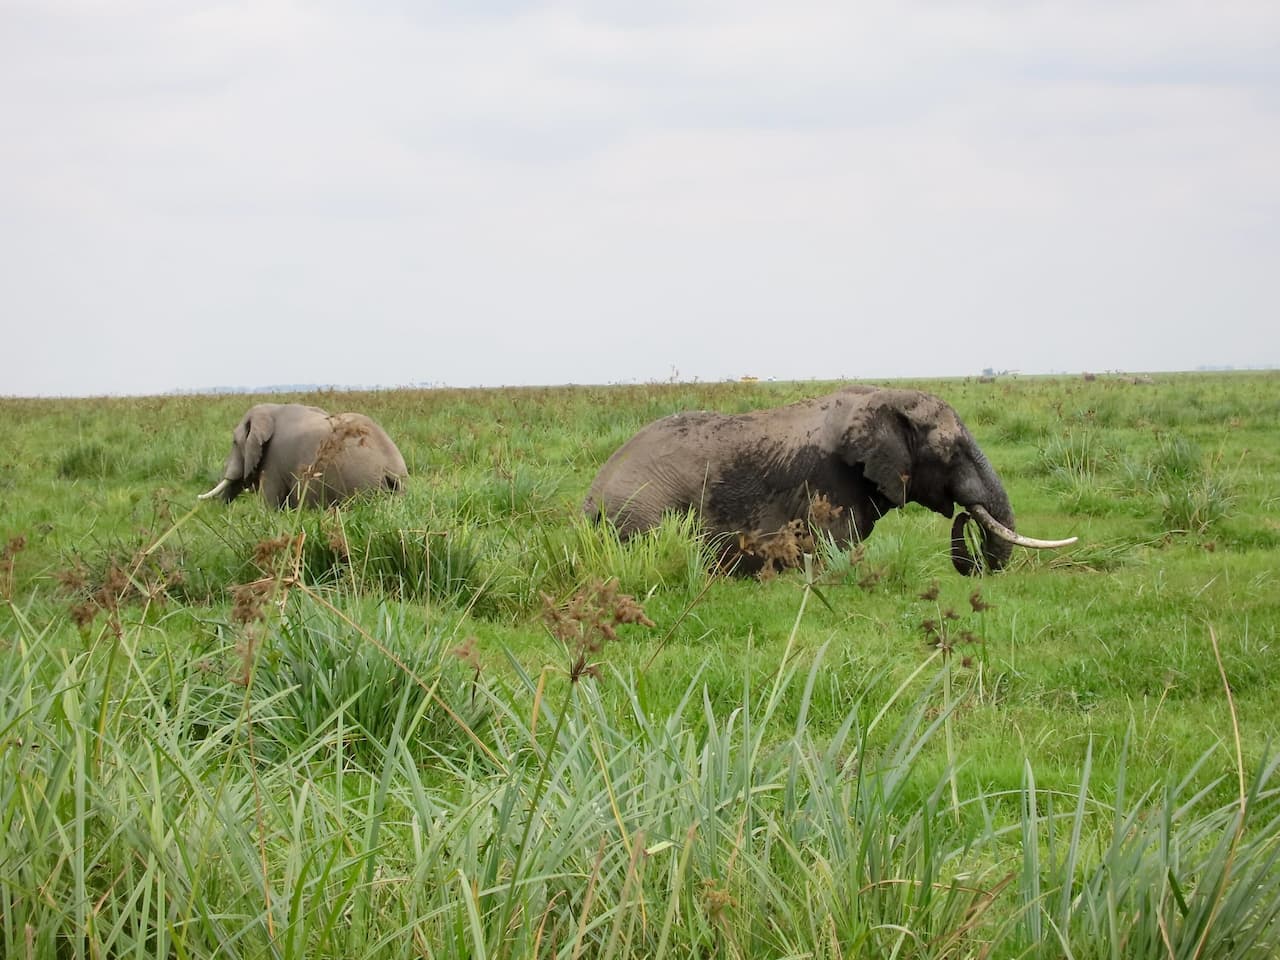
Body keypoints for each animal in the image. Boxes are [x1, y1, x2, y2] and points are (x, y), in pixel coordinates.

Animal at [197, 404, 407, 512]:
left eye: (234, 442)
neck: (272, 410)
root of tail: (392, 470)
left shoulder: (273, 461)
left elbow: (269, 504)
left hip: (361, 485)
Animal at [586, 386, 1075, 578]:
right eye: (952, 452)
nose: (964, 516)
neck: (883, 398)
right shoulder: (827, 486)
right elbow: (834, 550)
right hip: (640, 512)